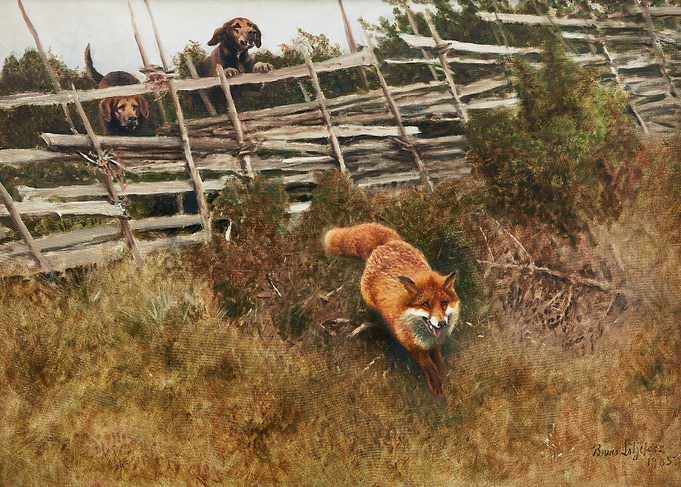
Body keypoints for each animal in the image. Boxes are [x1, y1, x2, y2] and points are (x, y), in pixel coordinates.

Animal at [323, 223, 461, 396]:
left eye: (444, 303)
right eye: (426, 304)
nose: (442, 323)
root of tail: (385, 245)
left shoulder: (432, 344)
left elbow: (439, 363)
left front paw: (445, 378)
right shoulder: (413, 346)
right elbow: (429, 367)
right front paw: (436, 388)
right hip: (370, 301)